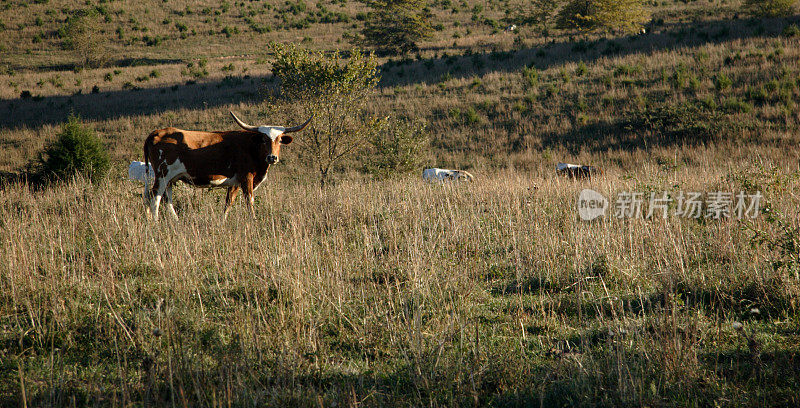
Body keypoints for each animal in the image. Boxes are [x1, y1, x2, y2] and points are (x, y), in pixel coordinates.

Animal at [142, 111, 310, 220]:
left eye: (280, 139)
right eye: (263, 139)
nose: (272, 157)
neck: (250, 147)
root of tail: (157, 132)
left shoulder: (235, 183)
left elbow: (228, 203)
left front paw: (223, 221)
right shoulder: (246, 179)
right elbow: (249, 202)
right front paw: (253, 221)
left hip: (170, 179)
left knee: (167, 198)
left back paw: (174, 221)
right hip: (162, 175)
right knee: (155, 197)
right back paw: (155, 222)